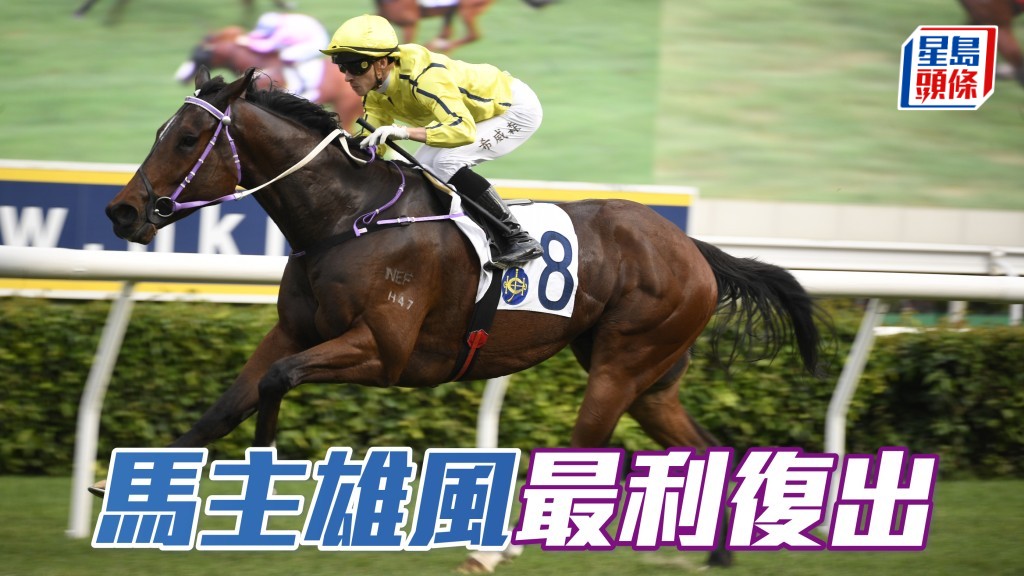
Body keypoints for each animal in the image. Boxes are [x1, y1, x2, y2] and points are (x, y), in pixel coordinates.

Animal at [103, 66, 830, 568]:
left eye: (188, 138)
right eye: (160, 133)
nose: (122, 211)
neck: (345, 218)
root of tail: (692, 247)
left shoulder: (384, 351)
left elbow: (279, 381)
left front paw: (264, 473)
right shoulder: (294, 330)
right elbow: (226, 405)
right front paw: (129, 496)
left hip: (623, 367)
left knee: (585, 447)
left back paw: (494, 551)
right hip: (652, 380)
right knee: (704, 447)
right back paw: (720, 550)